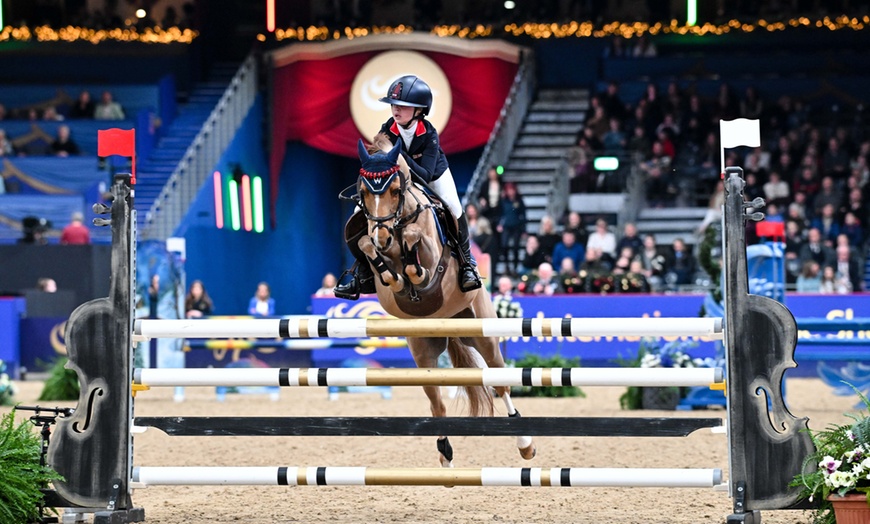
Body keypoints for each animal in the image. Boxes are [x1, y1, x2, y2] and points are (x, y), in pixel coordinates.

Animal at [344, 137, 536, 467]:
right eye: (364, 192)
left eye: (395, 190)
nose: (383, 237)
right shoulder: (373, 246)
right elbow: (368, 247)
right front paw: (390, 273)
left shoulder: (432, 256)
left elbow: (414, 246)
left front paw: (410, 266)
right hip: (424, 354)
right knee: (436, 404)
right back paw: (445, 455)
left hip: (483, 336)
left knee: (500, 384)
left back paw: (525, 443)